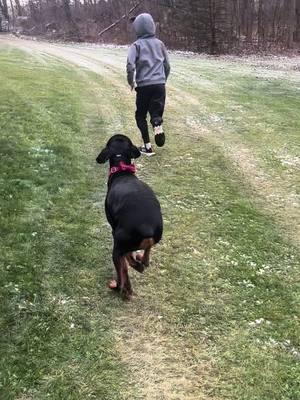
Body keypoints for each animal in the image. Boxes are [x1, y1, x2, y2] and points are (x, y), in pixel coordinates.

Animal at [96, 135, 163, 300]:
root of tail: (147, 228)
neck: (122, 169)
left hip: (117, 245)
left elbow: (124, 266)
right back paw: (140, 262)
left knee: (123, 273)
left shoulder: (114, 230)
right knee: (145, 257)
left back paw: (121, 287)